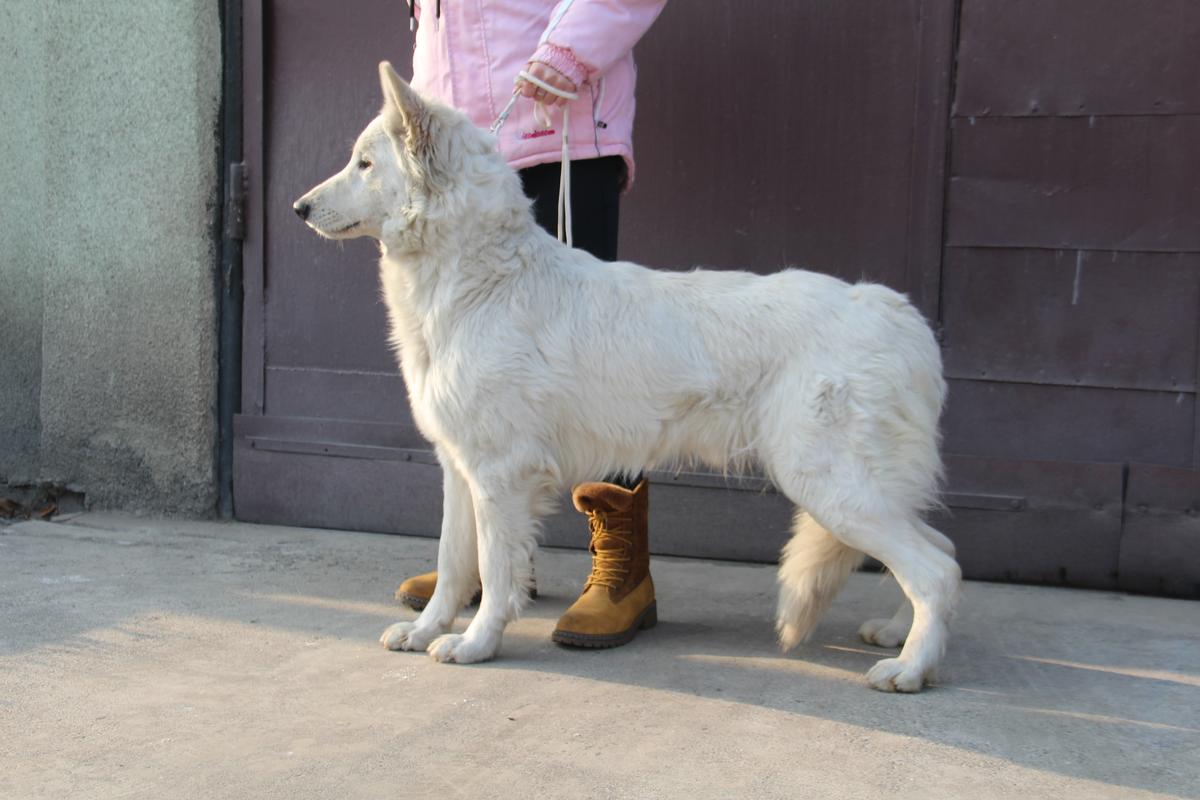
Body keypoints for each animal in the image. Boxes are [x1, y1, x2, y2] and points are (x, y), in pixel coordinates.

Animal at [295, 62, 960, 690]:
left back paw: (910, 668)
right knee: (942, 551)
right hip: (857, 491)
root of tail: (902, 316)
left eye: (363, 164)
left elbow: (497, 571)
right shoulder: (461, 473)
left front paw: (478, 643)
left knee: (936, 569)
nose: (298, 208)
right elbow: (456, 565)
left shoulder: (500, 477)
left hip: (829, 485)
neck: (484, 282)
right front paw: (427, 630)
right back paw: (899, 636)